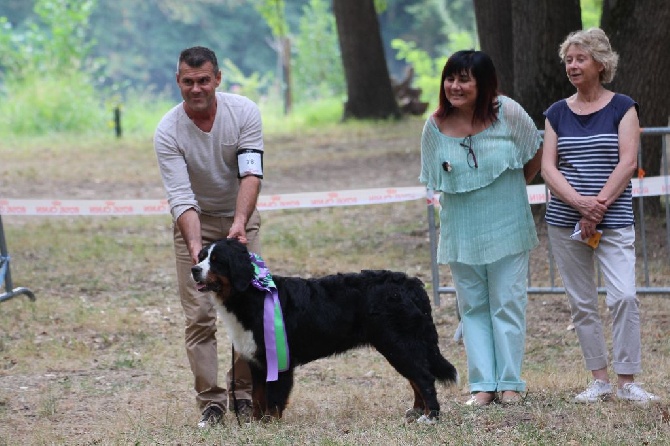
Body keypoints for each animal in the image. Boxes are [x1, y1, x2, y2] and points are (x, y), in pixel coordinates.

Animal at [192, 239, 460, 424]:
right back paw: (417, 411)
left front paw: (269, 423)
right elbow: (258, 395)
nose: (194, 269)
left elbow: (274, 396)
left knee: (424, 378)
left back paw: (430, 416)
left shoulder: (278, 359)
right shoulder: (257, 360)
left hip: (398, 343)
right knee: (416, 378)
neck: (250, 294)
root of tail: (412, 284)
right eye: (202, 256)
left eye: (217, 260)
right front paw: (256, 423)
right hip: (400, 345)